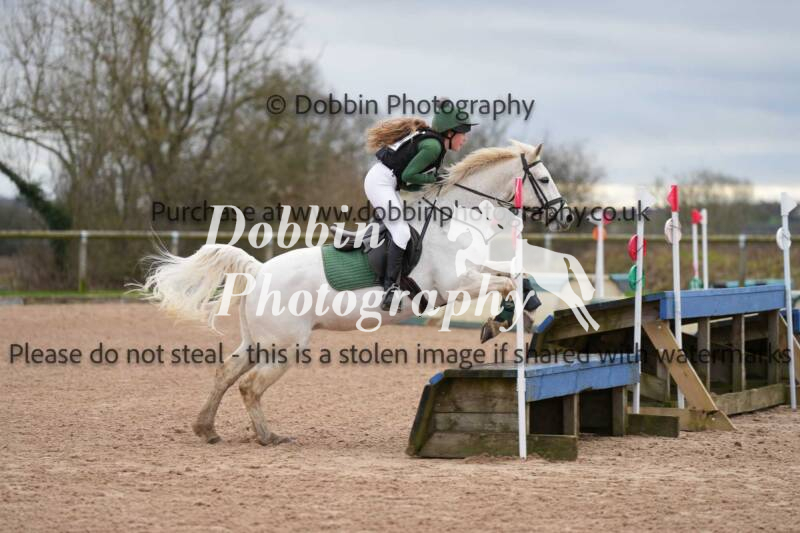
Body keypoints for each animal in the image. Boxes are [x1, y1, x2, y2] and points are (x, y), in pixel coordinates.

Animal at [141, 140, 574, 446]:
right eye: (545, 179)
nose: (567, 216)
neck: (458, 217)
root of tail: (260, 270)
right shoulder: (454, 285)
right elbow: (508, 282)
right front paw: (497, 323)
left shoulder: (471, 275)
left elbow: (517, 278)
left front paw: (520, 311)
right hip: (285, 345)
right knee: (249, 386)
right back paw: (267, 437)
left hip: (259, 341)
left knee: (226, 373)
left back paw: (207, 429)